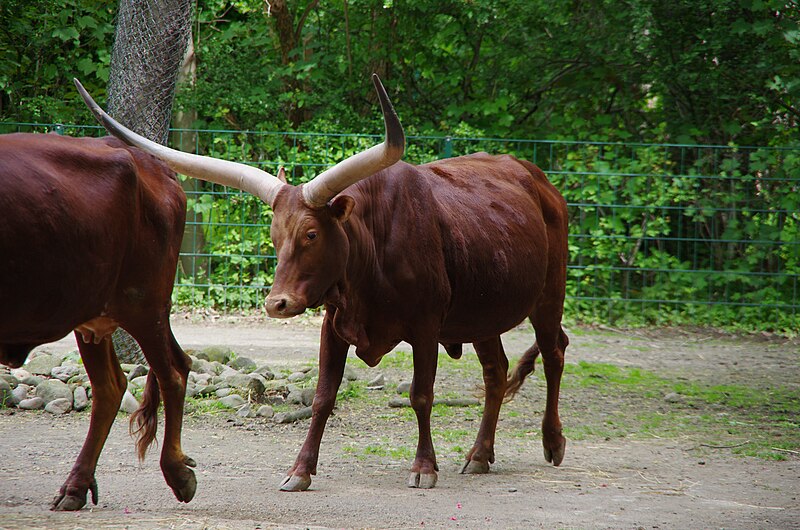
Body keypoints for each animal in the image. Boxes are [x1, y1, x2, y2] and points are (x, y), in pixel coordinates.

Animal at [0, 132, 197, 508]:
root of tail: (152, 163)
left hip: (143, 306)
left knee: (173, 373)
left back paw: (178, 474)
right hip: (92, 315)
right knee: (111, 386)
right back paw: (75, 487)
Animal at [76, 74, 568, 490]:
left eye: (311, 234)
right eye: (275, 235)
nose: (277, 303)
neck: (374, 248)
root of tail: (537, 177)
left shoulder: (427, 327)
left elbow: (422, 395)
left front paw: (424, 467)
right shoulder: (334, 325)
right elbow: (323, 398)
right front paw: (300, 470)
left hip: (549, 296)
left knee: (554, 352)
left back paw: (552, 443)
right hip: (482, 314)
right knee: (496, 370)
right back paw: (480, 454)